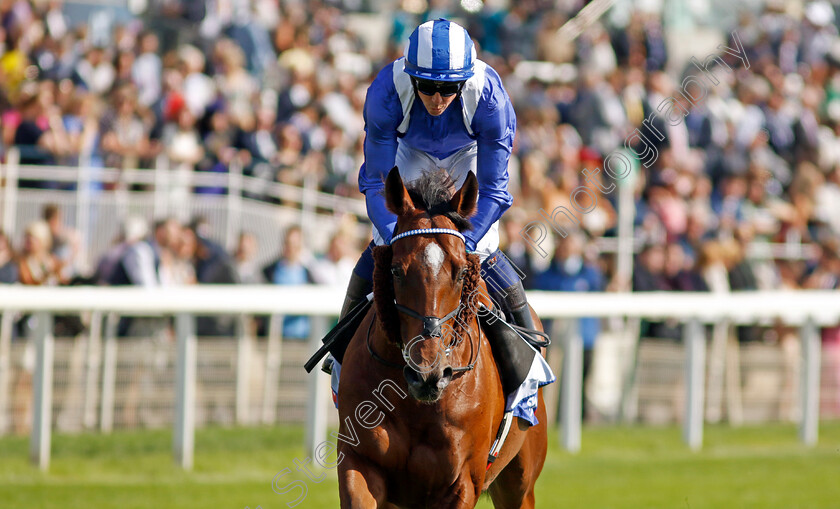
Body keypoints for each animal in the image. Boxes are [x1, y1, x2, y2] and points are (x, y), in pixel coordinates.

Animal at [338, 169, 548, 506]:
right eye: (395, 271)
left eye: (462, 273)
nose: (428, 375)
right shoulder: (359, 461)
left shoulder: (463, 481)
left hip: (520, 481)